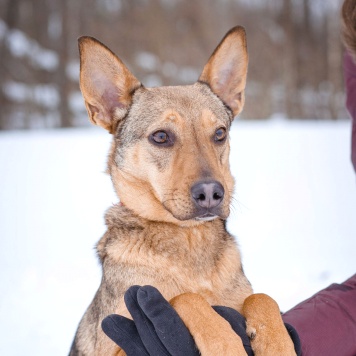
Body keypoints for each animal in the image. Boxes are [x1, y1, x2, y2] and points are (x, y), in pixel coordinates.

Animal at [69, 26, 294, 354]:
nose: (211, 193)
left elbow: (262, 297)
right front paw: (224, 342)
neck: (189, 239)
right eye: (161, 136)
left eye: (220, 133)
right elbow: (183, 298)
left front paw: (278, 342)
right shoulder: (119, 341)